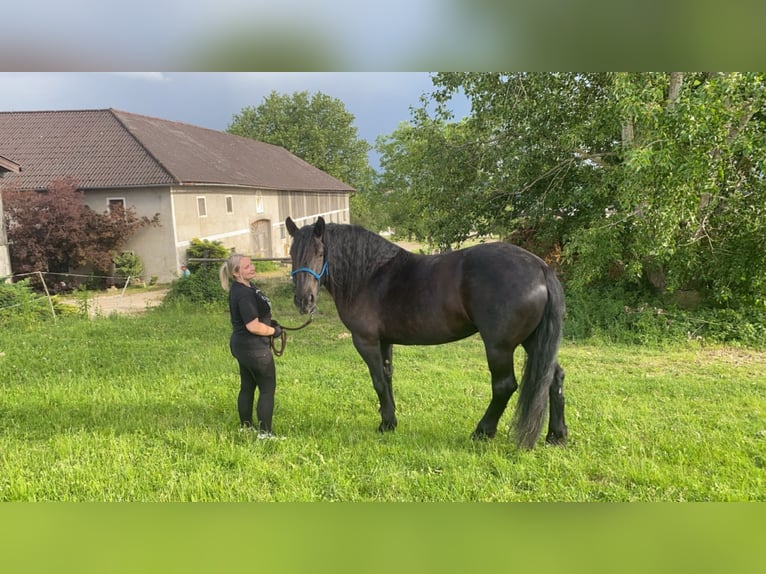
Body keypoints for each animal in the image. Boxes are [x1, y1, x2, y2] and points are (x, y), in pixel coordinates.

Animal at [284, 217, 568, 450]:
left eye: (320, 252)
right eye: (291, 253)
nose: (303, 301)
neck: (370, 275)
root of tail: (540, 268)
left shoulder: (366, 341)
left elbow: (378, 381)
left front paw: (385, 424)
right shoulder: (385, 342)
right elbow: (387, 378)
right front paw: (391, 420)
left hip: (499, 347)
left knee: (504, 386)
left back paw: (482, 432)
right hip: (533, 341)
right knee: (552, 378)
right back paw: (556, 435)